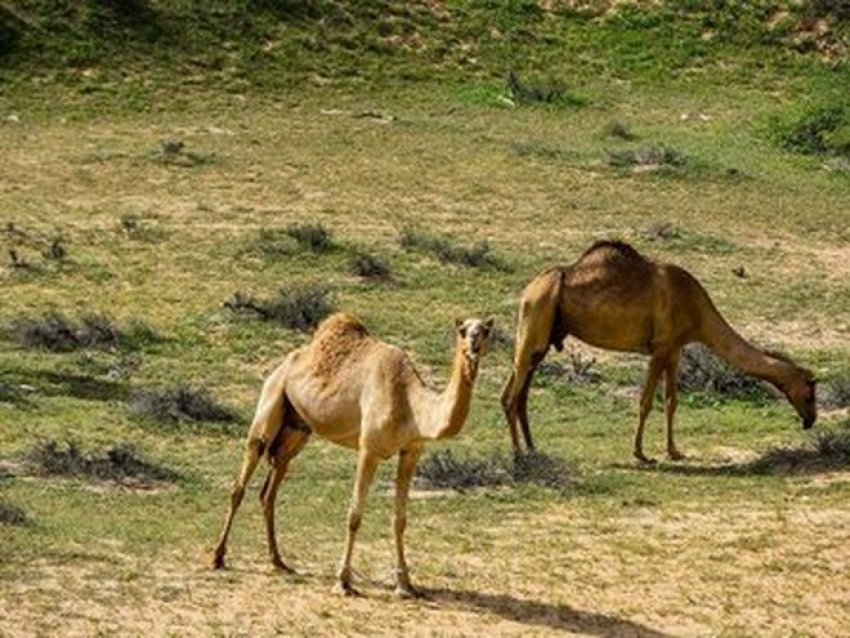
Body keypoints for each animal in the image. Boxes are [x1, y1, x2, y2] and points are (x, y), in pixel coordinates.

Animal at [210, 312, 490, 596]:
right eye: (463, 330)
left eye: (486, 330)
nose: (474, 342)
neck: (411, 404)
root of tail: (283, 365)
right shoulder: (369, 449)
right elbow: (354, 515)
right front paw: (343, 581)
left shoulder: (411, 453)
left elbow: (399, 519)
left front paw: (405, 585)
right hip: (271, 400)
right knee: (242, 480)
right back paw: (218, 557)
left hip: (296, 430)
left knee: (270, 489)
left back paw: (279, 562)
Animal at [500, 241, 820, 464]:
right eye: (809, 392)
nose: (811, 420)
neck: (697, 310)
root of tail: (528, 290)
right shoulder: (660, 347)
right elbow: (645, 402)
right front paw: (640, 453)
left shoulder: (675, 349)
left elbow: (671, 401)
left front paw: (674, 451)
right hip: (535, 322)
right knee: (511, 395)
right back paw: (517, 454)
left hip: (540, 340)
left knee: (519, 393)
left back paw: (532, 449)